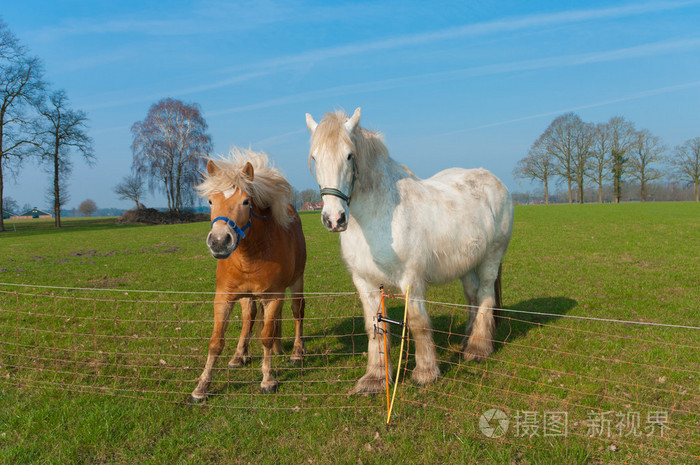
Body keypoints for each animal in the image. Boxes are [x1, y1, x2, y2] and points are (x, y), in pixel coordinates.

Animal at [189, 148, 306, 401]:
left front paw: (268, 379)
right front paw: (201, 387)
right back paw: (239, 355)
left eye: (245, 201)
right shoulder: (223, 297)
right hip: (245, 297)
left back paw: (296, 352)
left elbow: (266, 336)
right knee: (249, 318)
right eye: (210, 201)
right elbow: (216, 341)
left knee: (297, 311)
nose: (219, 241)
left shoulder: (274, 296)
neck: (250, 255)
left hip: (296, 282)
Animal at [305, 108, 513, 394]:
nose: (334, 219)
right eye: (315, 158)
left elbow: (417, 322)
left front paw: (426, 372)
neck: (376, 217)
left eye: (349, 155)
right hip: (468, 263)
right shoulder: (364, 282)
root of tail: (495, 181)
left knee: (485, 296)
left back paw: (478, 348)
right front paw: (376, 378)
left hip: (491, 258)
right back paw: (465, 341)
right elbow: (374, 326)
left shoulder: (411, 280)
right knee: (472, 295)